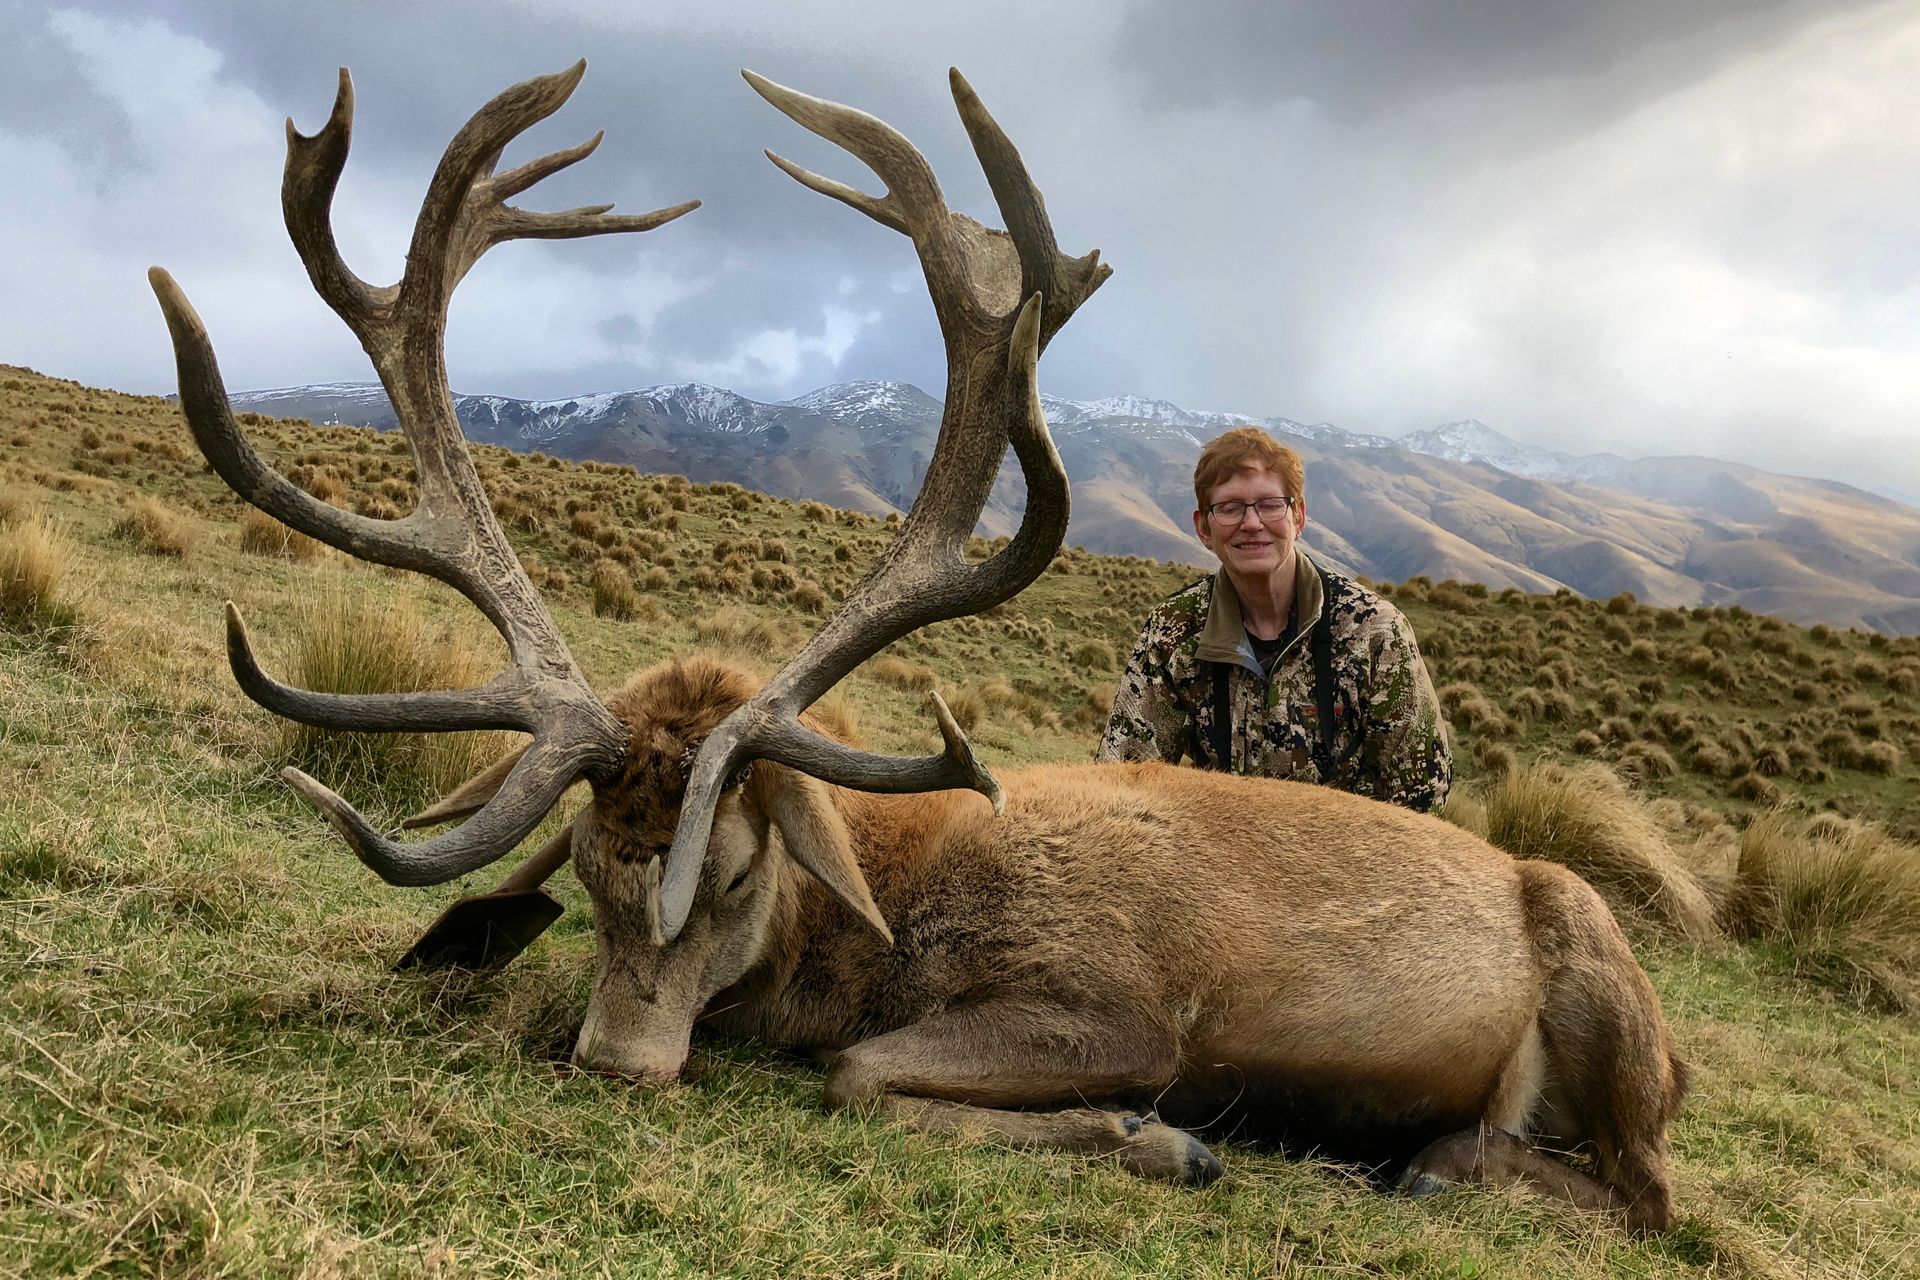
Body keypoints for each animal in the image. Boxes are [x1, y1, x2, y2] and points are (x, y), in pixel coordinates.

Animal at [148, 62, 1689, 1233]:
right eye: (586, 869)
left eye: (734, 872)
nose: (618, 1062)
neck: (883, 909)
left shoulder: (1126, 1005)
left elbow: (861, 1077)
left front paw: (1160, 1137)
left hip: (1605, 983)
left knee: (1649, 1192)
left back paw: (1440, 1161)